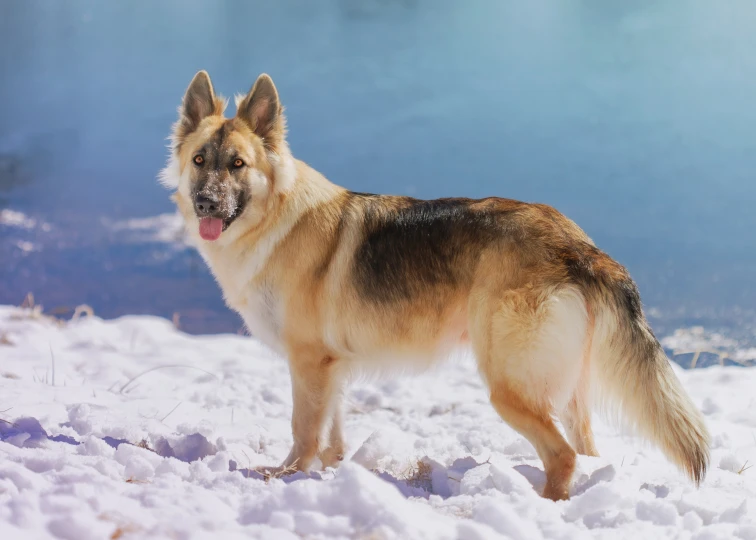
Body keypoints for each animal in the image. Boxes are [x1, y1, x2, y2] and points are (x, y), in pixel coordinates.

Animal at [159, 73, 708, 502]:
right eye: (200, 160)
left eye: (238, 165)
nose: (206, 204)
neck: (276, 220)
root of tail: (579, 245)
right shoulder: (331, 368)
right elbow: (332, 436)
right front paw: (331, 475)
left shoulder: (309, 363)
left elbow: (303, 431)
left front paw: (286, 477)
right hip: (566, 394)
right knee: (587, 452)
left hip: (509, 389)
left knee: (563, 457)